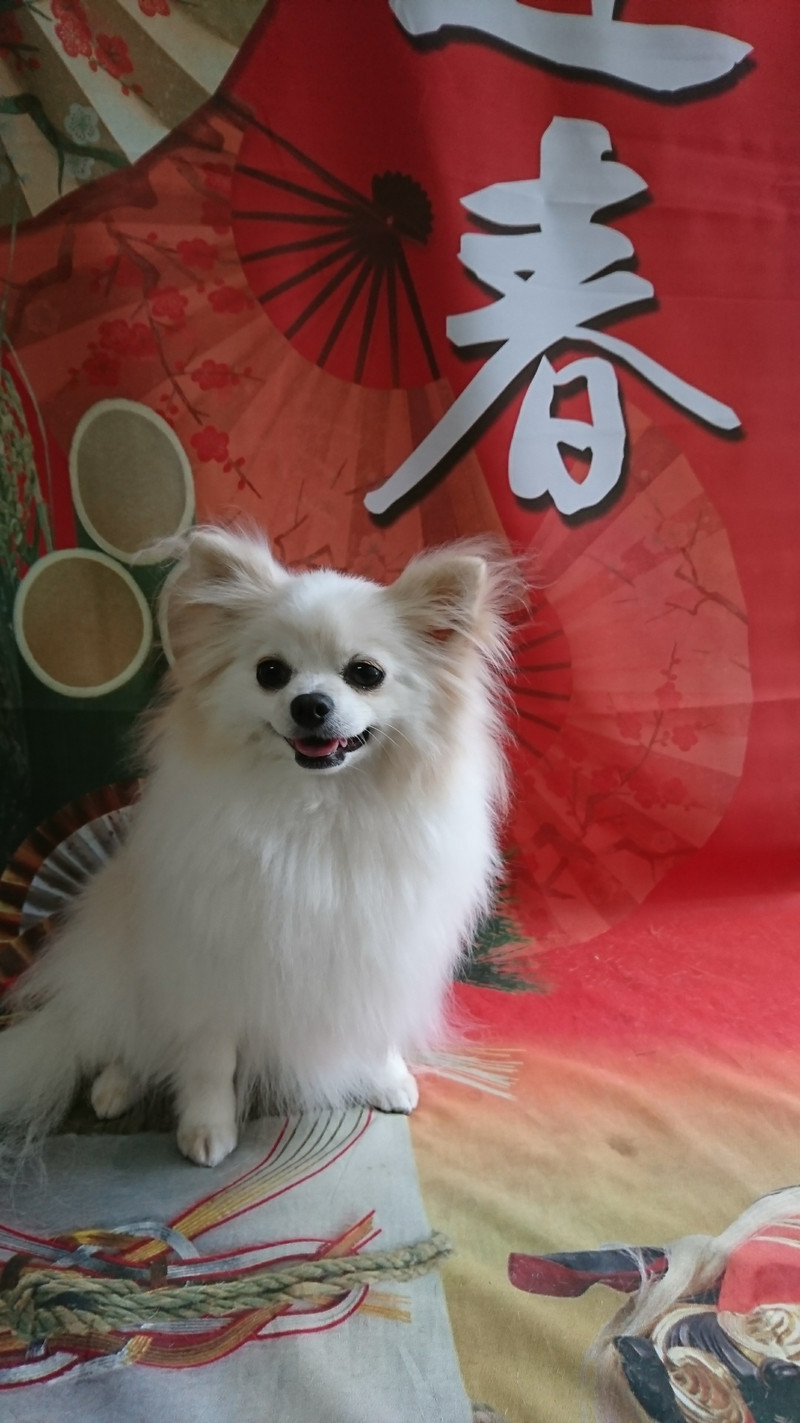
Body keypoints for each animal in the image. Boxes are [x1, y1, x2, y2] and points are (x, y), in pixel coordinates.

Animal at [0, 527, 515, 1167]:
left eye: (366, 673)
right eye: (271, 672)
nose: (310, 703)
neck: (318, 810)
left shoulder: (377, 952)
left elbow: (374, 1030)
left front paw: (387, 1077)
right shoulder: (212, 970)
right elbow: (210, 1063)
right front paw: (206, 1128)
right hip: (122, 972)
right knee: (121, 1035)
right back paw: (116, 1084)